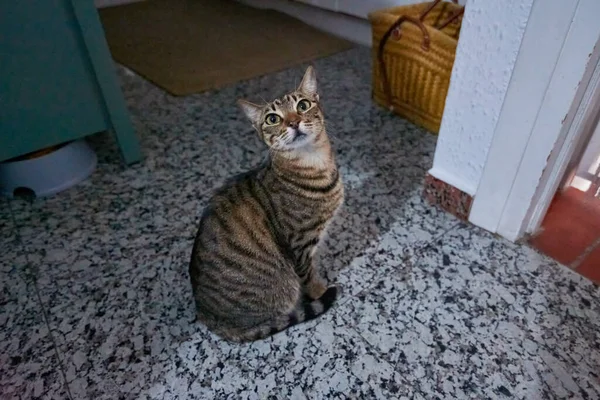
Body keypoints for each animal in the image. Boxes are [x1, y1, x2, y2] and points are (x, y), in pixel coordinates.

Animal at [190, 67, 344, 342]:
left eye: (303, 105)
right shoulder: (301, 244)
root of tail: (208, 317)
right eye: (273, 119)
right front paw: (320, 290)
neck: (314, 164)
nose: (293, 122)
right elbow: (309, 277)